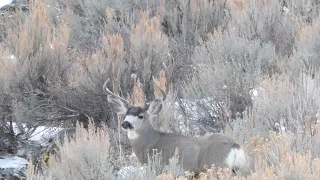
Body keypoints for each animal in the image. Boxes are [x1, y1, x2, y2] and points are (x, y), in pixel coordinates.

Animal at [104, 78, 249, 176]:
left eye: (141, 116)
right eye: (125, 115)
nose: (125, 124)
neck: (150, 143)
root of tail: (235, 145)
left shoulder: (160, 167)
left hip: (215, 167)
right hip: (238, 169)